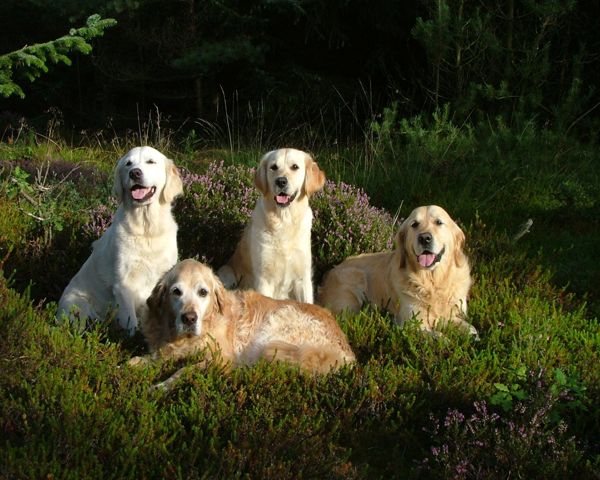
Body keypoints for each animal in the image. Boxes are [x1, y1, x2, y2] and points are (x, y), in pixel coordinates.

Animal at [56, 144, 183, 336]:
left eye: (151, 161)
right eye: (128, 164)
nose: (134, 173)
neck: (146, 229)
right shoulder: (123, 283)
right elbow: (130, 322)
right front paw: (130, 337)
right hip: (77, 306)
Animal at [130, 258, 356, 390]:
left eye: (203, 292)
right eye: (176, 291)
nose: (189, 318)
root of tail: (347, 352)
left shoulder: (222, 359)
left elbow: (184, 369)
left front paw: (160, 386)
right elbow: (152, 358)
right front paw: (137, 363)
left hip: (276, 327)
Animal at [218, 148, 326, 302]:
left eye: (295, 167)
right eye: (273, 167)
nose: (280, 181)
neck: (284, 221)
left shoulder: (303, 279)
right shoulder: (264, 278)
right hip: (226, 273)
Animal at [318, 204, 478, 336]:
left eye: (438, 222)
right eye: (414, 224)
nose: (424, 238)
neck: (432, 281)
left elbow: (467, 326)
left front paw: (468, 331)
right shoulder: (411, 322)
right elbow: (437, 335)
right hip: (354, 283)